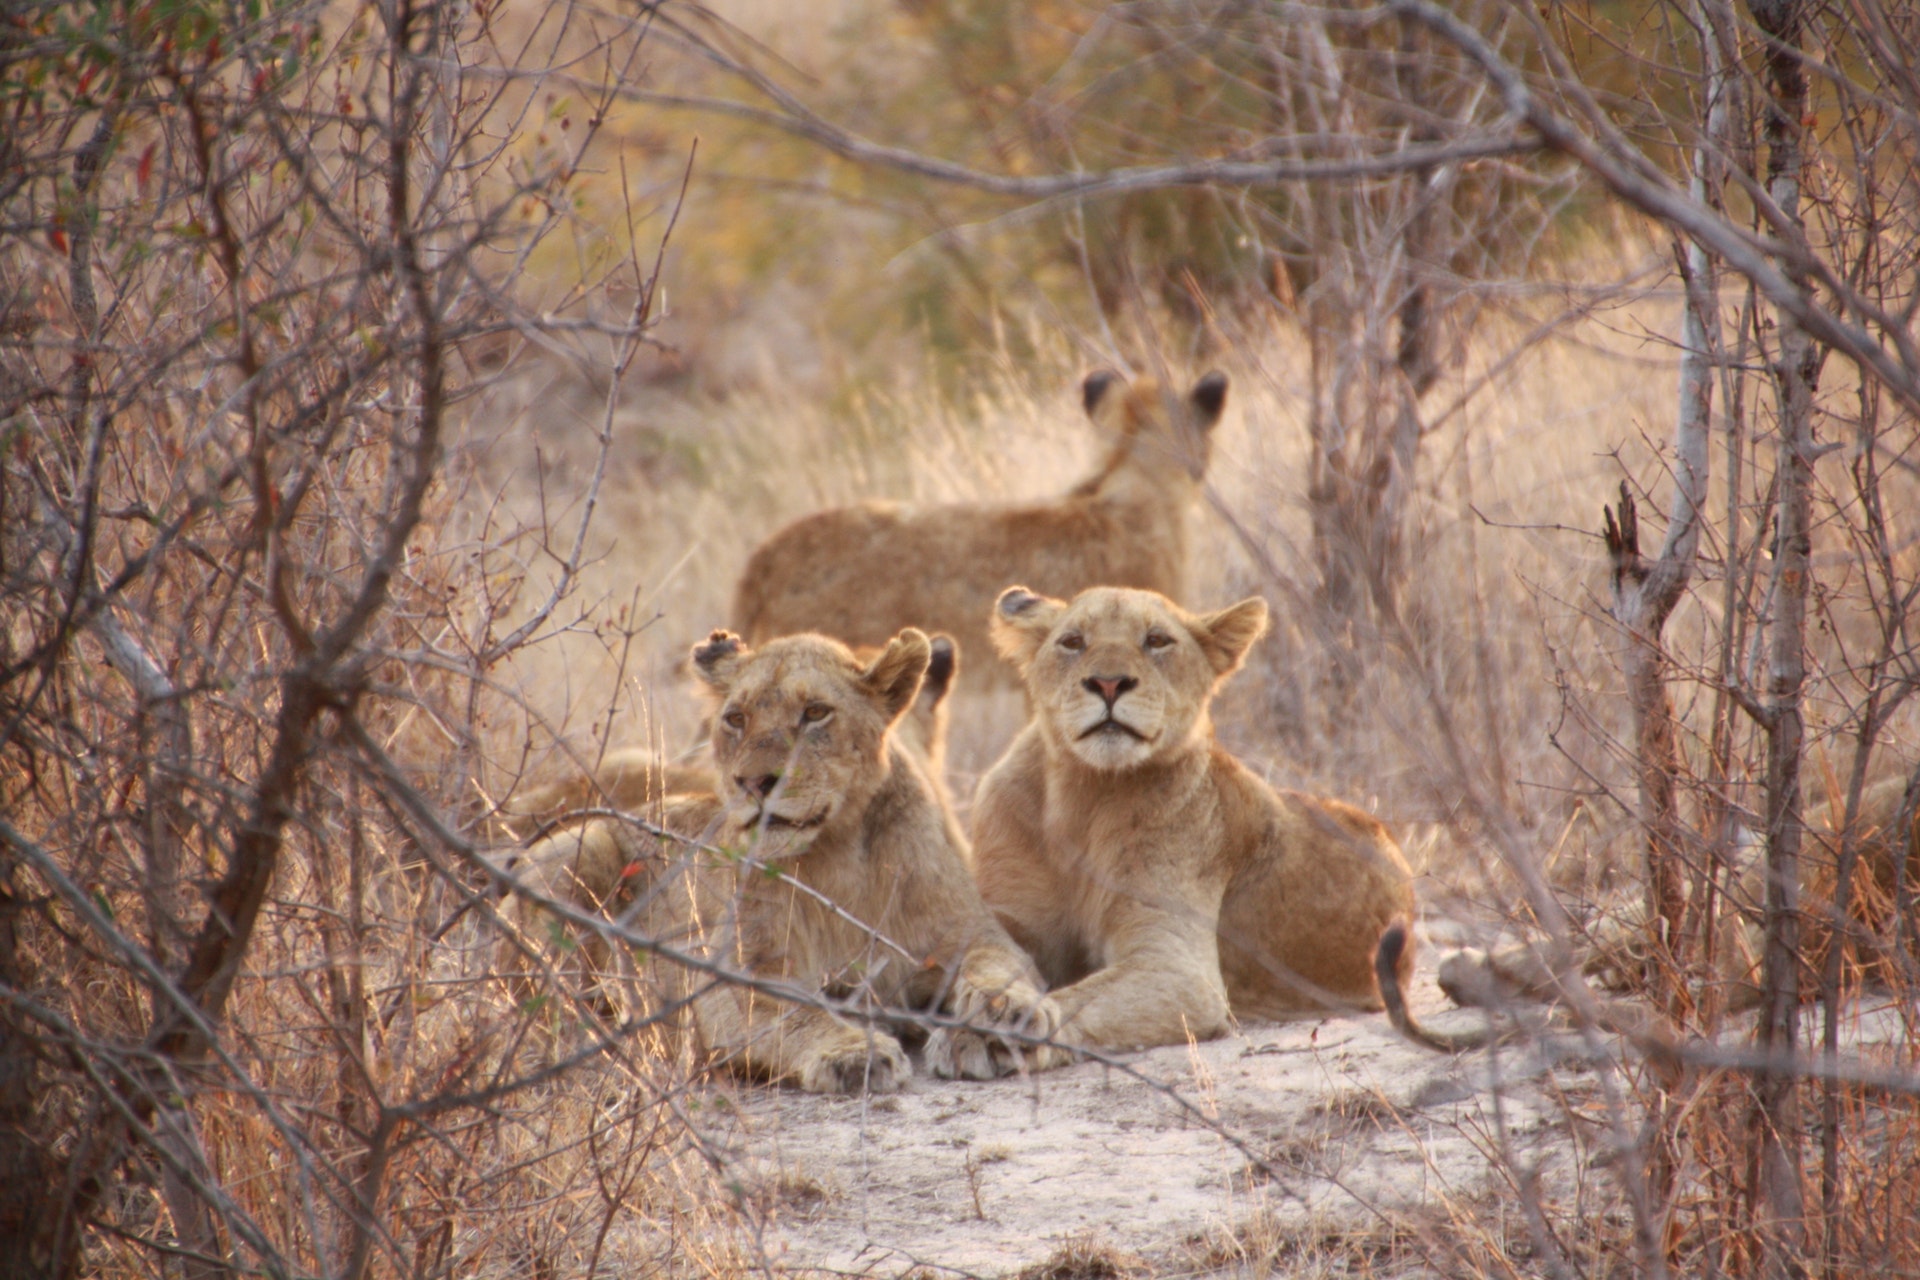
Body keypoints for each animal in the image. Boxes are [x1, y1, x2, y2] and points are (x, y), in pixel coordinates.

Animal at [495, 625, 1059, 1097]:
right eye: (736, 719)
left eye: (815, 713)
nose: (753, 782)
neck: (835, 857)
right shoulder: (729, 978)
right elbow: (796, 1013)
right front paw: (853, 1052)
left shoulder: (973, 935)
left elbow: (996, 968)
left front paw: (1001, 1022)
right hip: (578, 849)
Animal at [975, 587, 1466, 1059]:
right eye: (1073, 642)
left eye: (1157, 640)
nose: (1109, 683)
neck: (1084, 792)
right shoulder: (1010, 914)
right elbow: (984, 955)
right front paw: (989, 1011)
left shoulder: (1179, 968)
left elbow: (1084, 997)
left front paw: (1015, 1027)